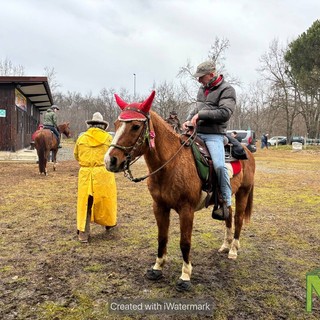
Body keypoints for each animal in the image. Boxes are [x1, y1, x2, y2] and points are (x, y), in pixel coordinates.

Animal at [105, 91, 255, 292]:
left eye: (136, 126)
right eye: (115, 124)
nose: (110, 160)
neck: (170, 165)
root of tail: (247, 150)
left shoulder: (186, 210)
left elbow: (185, 242)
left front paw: (185, 276)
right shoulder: (159, 207)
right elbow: (162, 237)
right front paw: (157, 268)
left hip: (243, 193)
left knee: (238, 219)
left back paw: (233, 250)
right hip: (226, 196)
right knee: (228, 216)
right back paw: (225, 245)